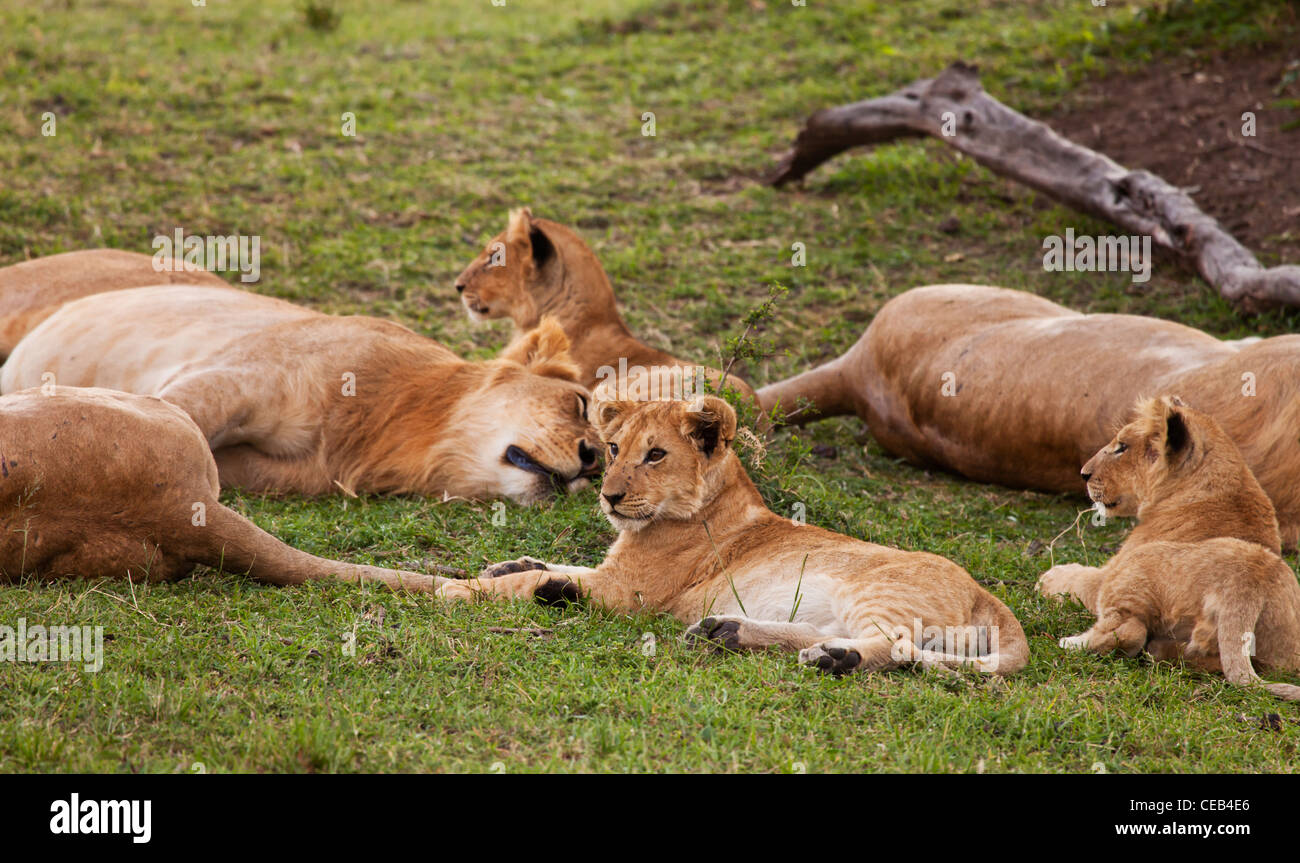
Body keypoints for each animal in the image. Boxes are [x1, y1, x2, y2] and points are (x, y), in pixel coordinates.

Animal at [437, 395, 1029, 677]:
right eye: (614, 448)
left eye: (655, 455)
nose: (608, 496)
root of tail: (984, 592)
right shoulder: (613, 573)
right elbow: (555, 566)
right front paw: (511, 566)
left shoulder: (627, 592)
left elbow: (527, 585)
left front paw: (466, 588)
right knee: (823, 633)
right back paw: (727, 632)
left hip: (874, 591)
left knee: (900, 647)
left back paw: (836, 660)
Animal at [1037, 396, 1300, 701]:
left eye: (1122, 447)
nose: (1083, 474)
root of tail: (1246, 591)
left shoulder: (1108, 574)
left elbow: (1078, 581)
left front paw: (1049, 577)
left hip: (1134, 568)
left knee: (1127, 630)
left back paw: (1072, 642)